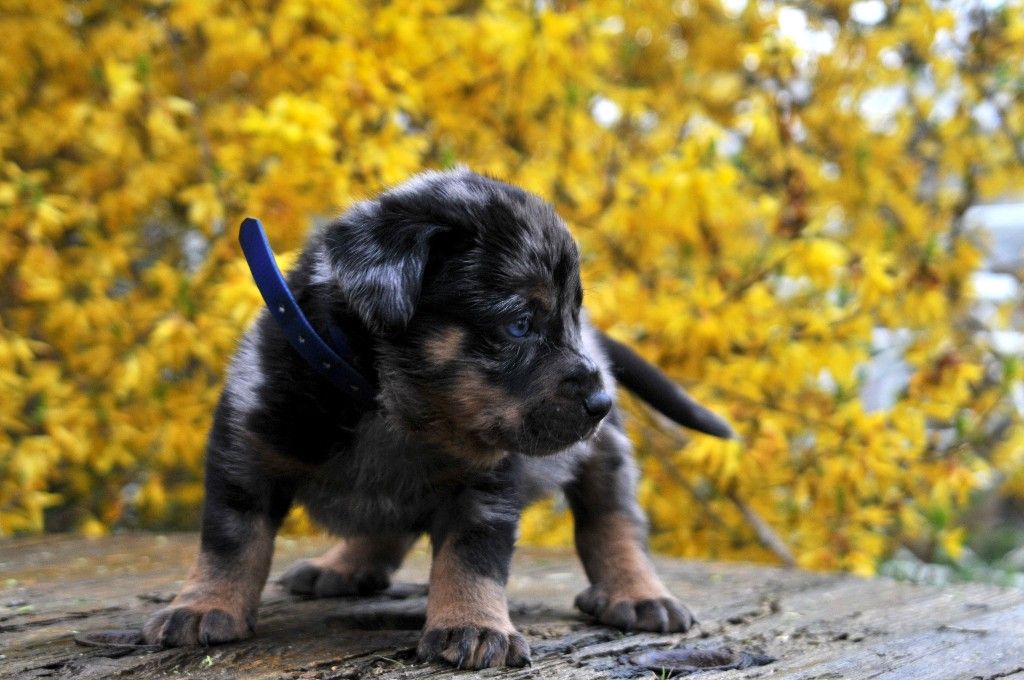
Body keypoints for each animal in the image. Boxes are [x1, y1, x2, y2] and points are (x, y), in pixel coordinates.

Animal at [142, 168, 734, 669]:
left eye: (571, 316)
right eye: (520, 324)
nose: (601, 401)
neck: (386, 408)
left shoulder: (485, 486)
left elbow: (470, 559)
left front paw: (473, 625)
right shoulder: (245, 453)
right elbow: (230, 542)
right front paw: (203, 605)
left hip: (604, 457)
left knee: (614, 523)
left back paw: (637, 593)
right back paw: (343, 565)